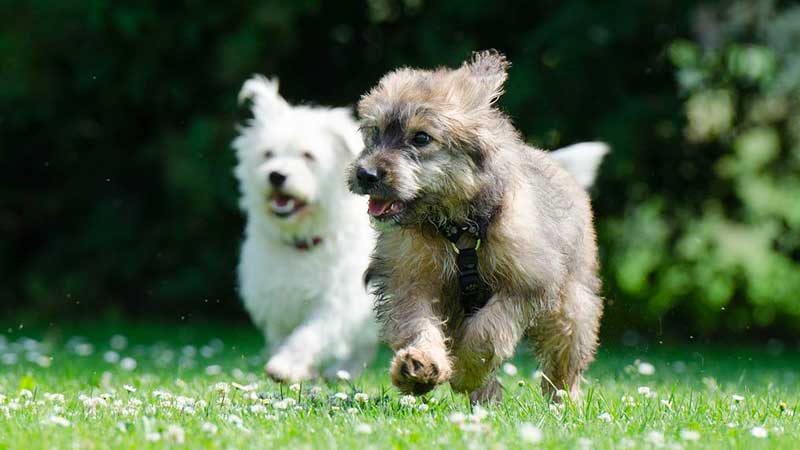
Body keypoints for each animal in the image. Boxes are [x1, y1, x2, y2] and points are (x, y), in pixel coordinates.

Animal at [234, 75, 378, 382]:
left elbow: (309, 334)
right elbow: (282, 337)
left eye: (308, 156)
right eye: (268, 154)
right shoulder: (277, 302)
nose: (276, 175)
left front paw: (286, 366)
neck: (302, 239)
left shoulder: (335, 302)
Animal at [346, 51, 604, 402]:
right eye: (375, 131)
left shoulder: (526, 284)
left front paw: (465, 371)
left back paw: (564, 402)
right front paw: (420, 365)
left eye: (421, 138)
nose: (366, 174)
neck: (457, 230)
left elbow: (488, 332)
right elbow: (418, 324)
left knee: (563, 360)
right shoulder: (411, 281)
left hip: (572, 307)